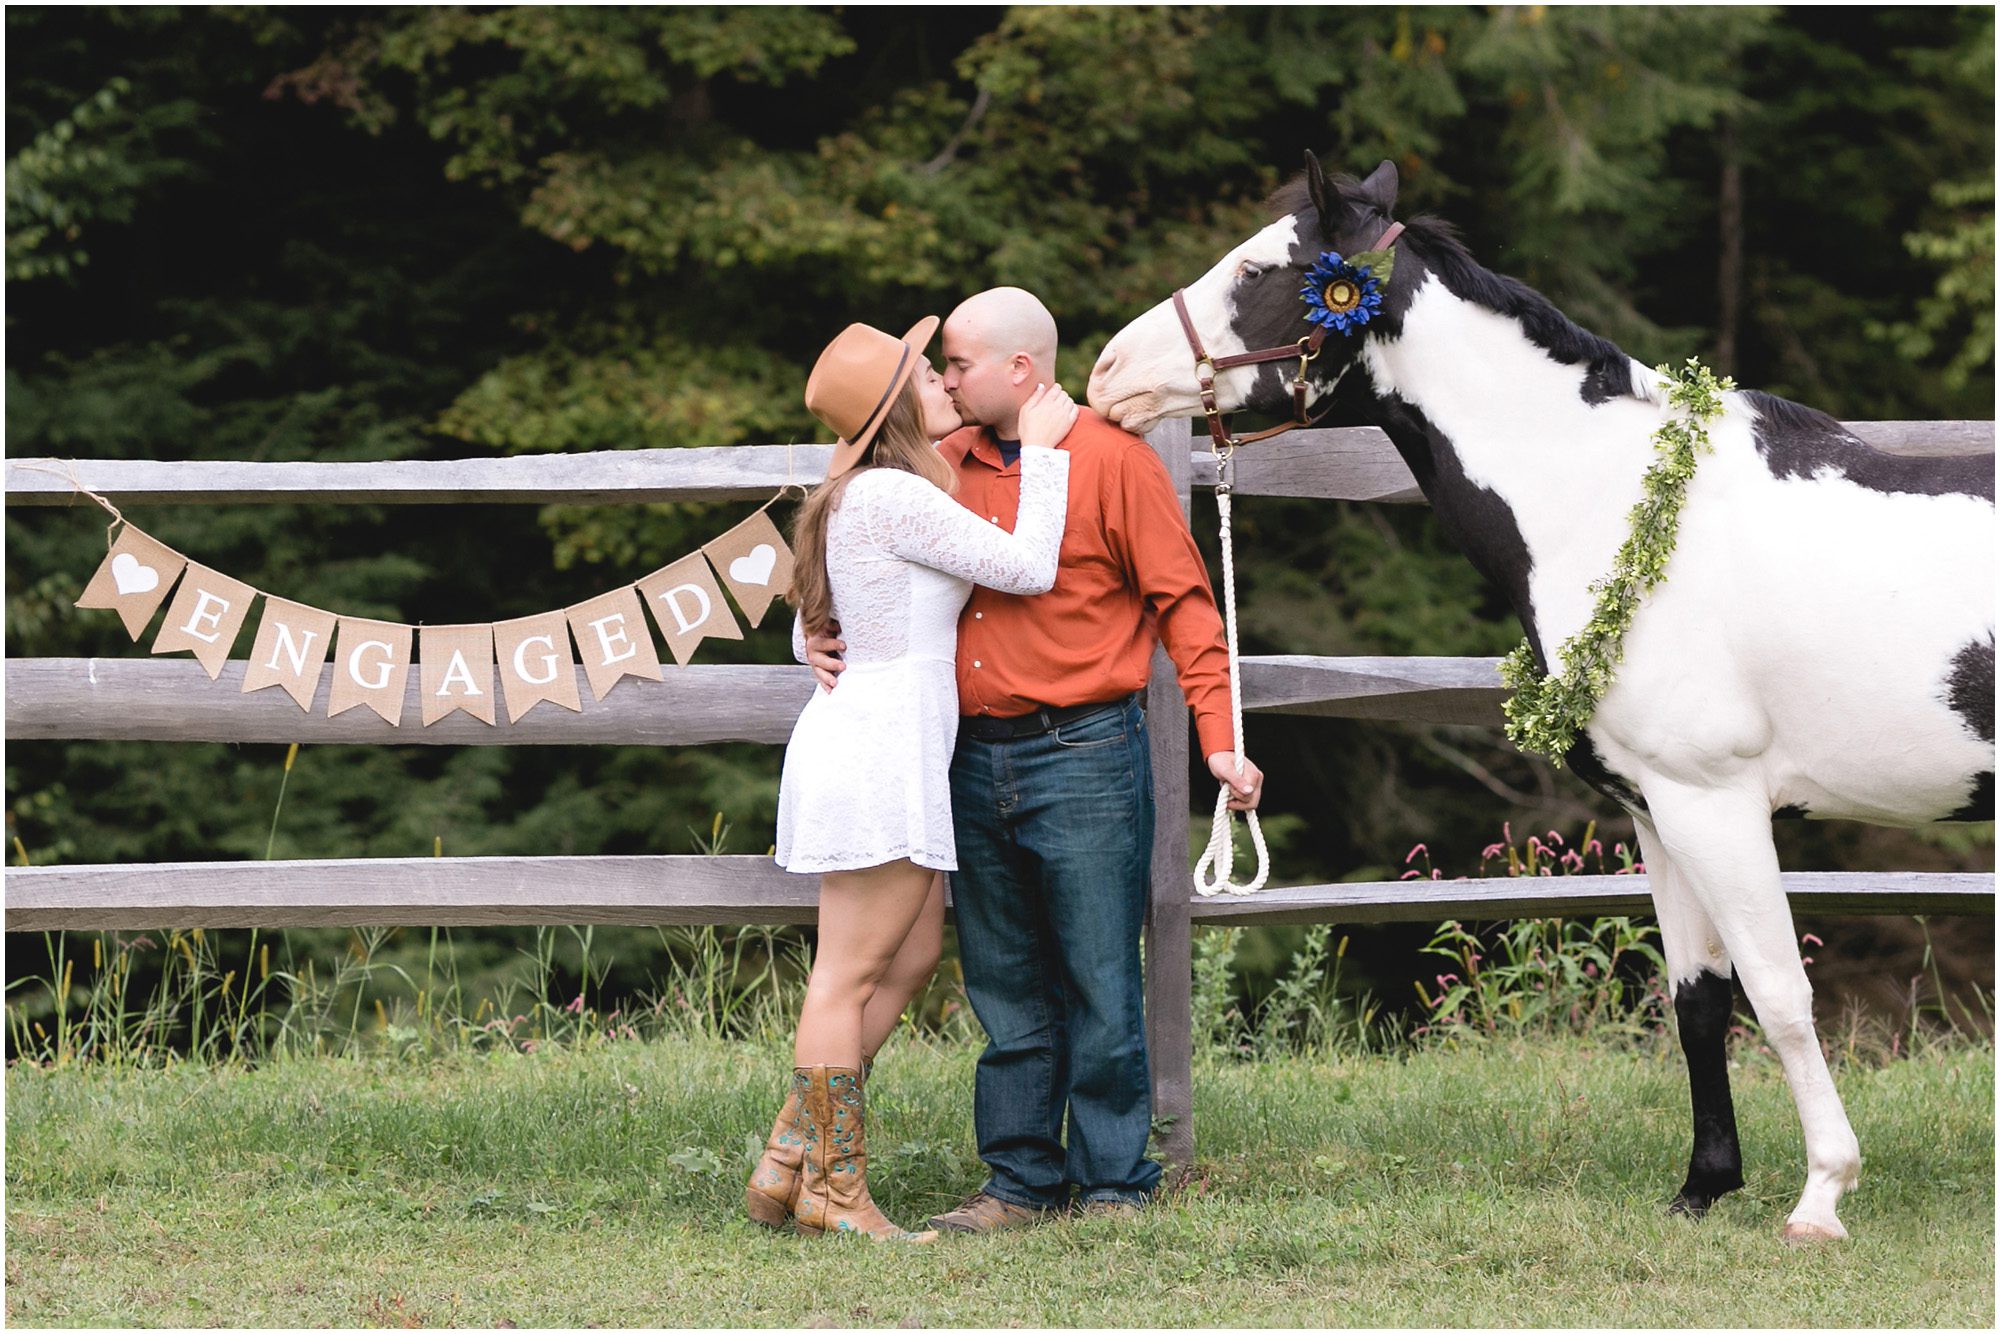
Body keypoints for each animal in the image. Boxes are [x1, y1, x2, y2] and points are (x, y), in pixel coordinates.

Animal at [1088, 153, 1995, 1242]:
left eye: (1259, 268)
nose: (1106, 373)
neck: (1617, 508)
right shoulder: (1659, 811)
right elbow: (1697, 1000)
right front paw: (1703, 1184)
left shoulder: (1719, 802)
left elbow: (1778, 993)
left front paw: (1820, 1193)